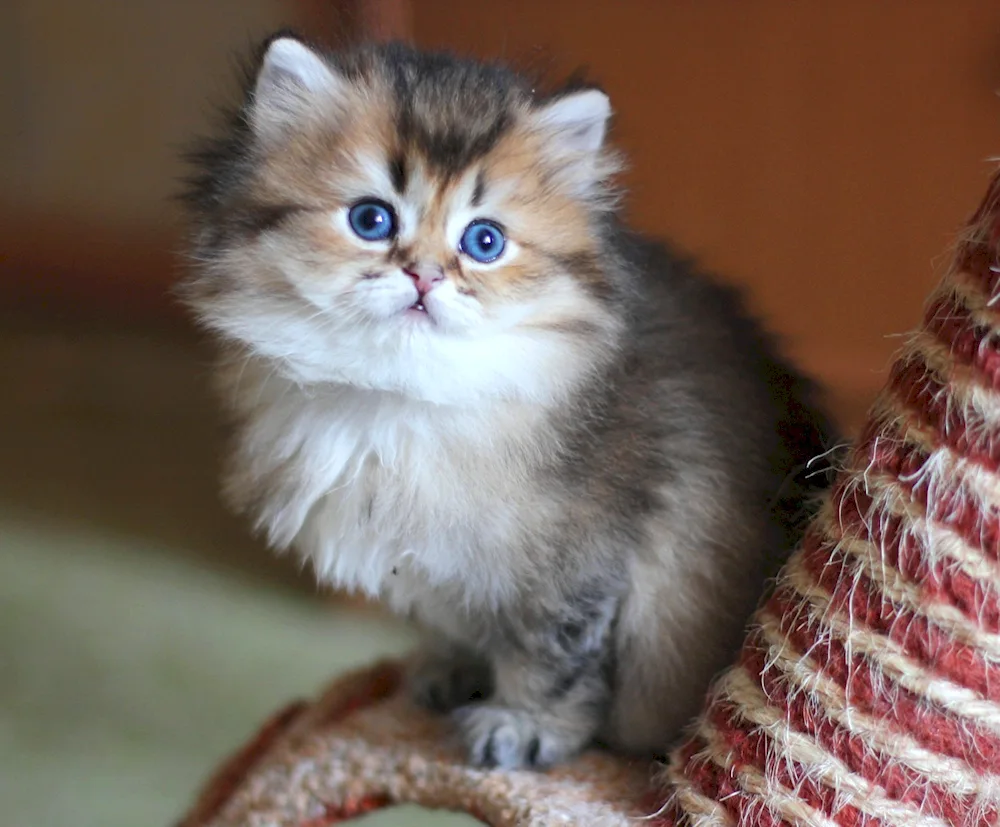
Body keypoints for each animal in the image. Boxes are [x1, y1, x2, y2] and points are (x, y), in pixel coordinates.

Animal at [182, 32, 836, 768]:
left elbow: (550, 658)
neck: (403, 398)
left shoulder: (582, 564)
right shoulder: (430, 566)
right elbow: (450, 623)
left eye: (484, 241)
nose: (425, 276)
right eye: (371, 219)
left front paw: (524, 727)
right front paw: (447, 672)